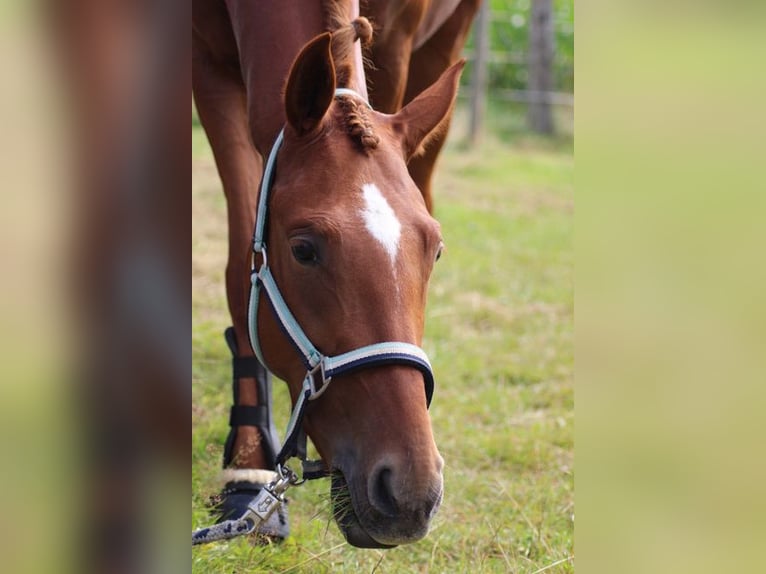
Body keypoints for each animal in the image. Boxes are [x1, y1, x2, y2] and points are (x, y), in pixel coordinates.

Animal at [192, 0, 480, 548]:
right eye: (303, 250)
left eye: (434, 252)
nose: (410, 492)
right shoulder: (210, 71)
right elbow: (239, 265)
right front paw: (248, 470)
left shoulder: (396, 44)